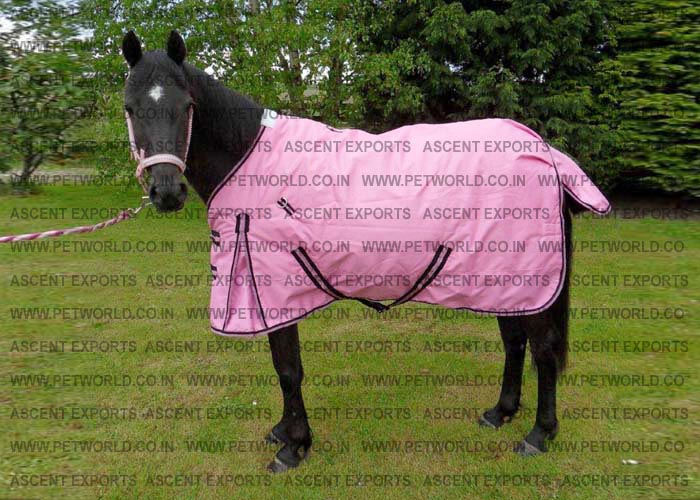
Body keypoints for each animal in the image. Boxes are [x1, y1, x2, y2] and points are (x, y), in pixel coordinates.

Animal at [121, 30, 609, 472]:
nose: (166, 192)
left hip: (530, 279)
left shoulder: (277, 290)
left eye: (186, 106)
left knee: (543, 349)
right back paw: (500, 412)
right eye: (130, 107)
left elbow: (287, 370)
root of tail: (544, 150)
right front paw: (283, 432)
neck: (250, 163)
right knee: (514, 342)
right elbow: (284, 369)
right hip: (504, 279)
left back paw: (539, 434)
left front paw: (294, 446)